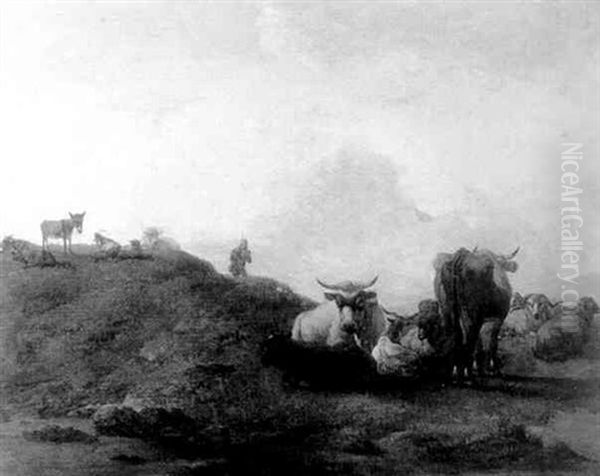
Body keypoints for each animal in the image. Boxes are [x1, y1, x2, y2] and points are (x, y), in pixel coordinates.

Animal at [432, 245, 520, 380]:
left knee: (455, 336)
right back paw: (467, 374)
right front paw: (492, 369)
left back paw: (455, 371)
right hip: (471, 314)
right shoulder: (498, 318)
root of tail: (461, 256)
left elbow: (480, 343)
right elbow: (492, 343)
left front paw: (478, 367)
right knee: (469, 338)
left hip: (446, 310)